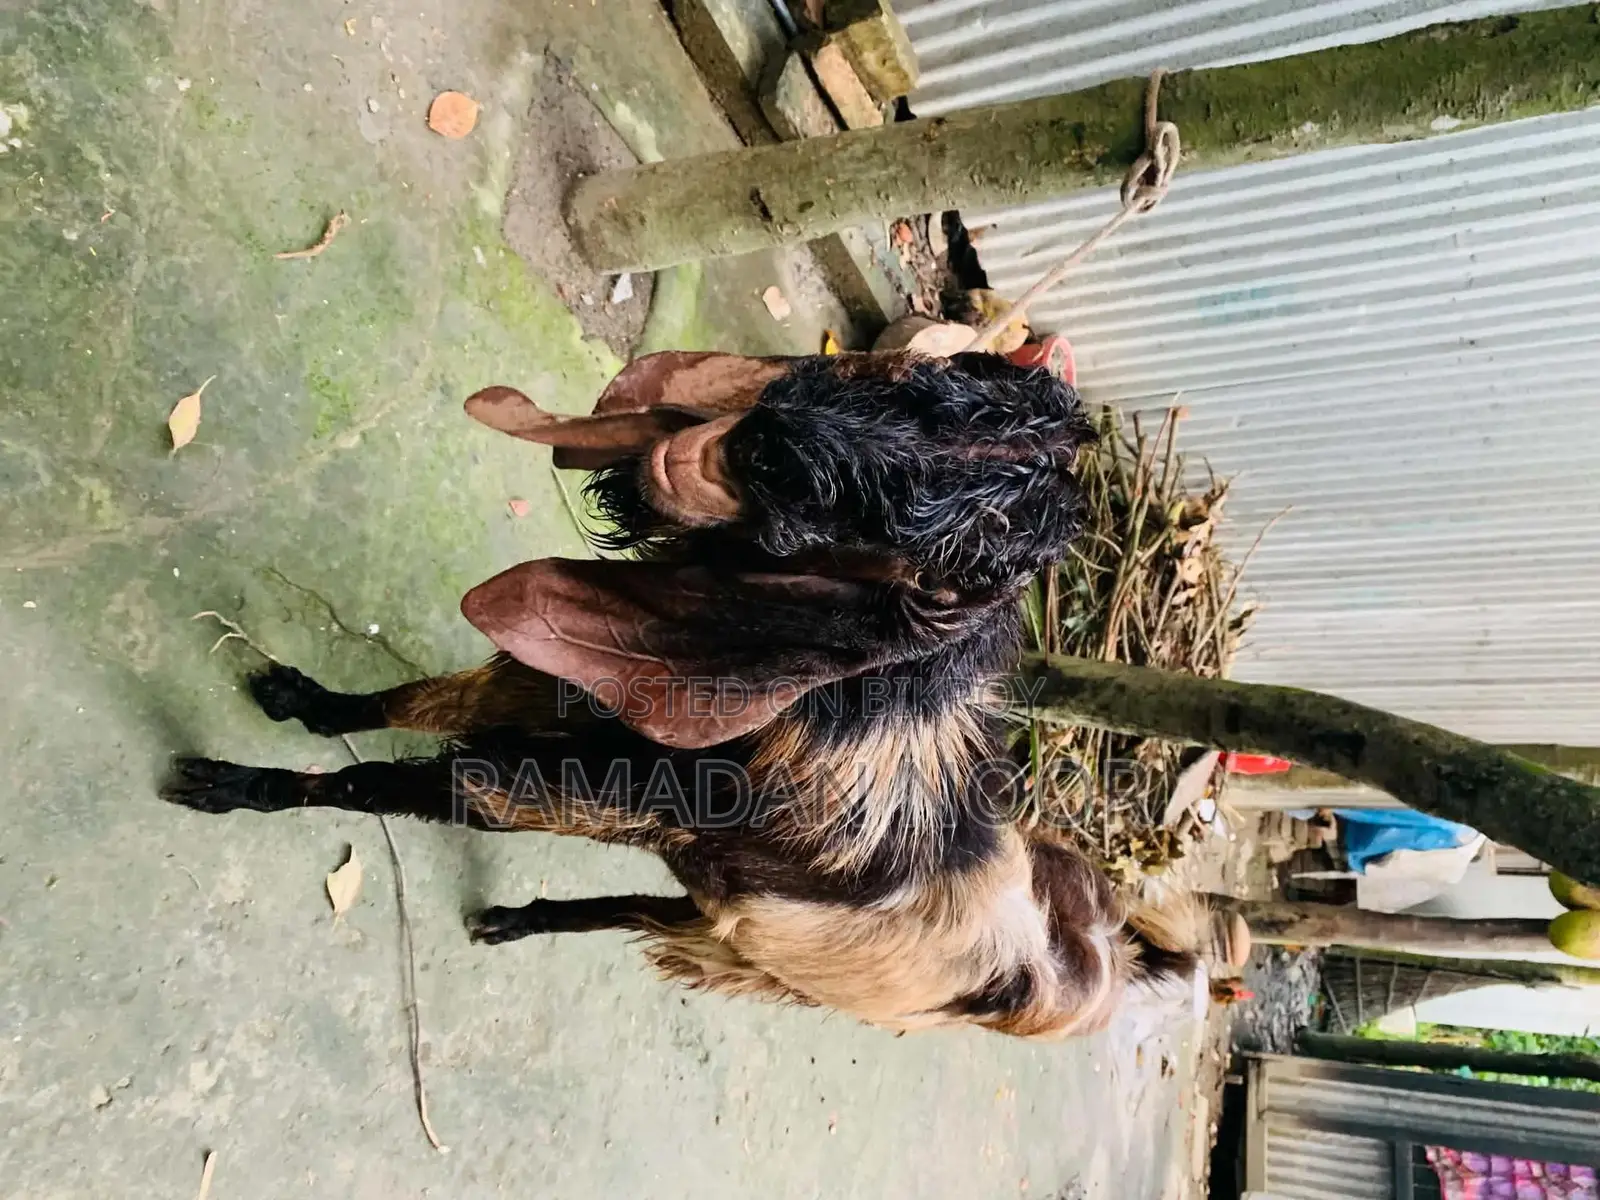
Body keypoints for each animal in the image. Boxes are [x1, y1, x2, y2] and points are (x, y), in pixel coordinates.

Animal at [165, 350, 1213, 1038]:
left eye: (959, 554)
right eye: (909, 386)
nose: (774, 442)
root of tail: (1112, 957)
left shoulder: (582, 788)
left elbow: (386, 781)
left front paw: (227, 784)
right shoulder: (562, 694)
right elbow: (410, 701)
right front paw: (299, 698)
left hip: (757, 961)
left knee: (640, 917)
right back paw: (511, 921)